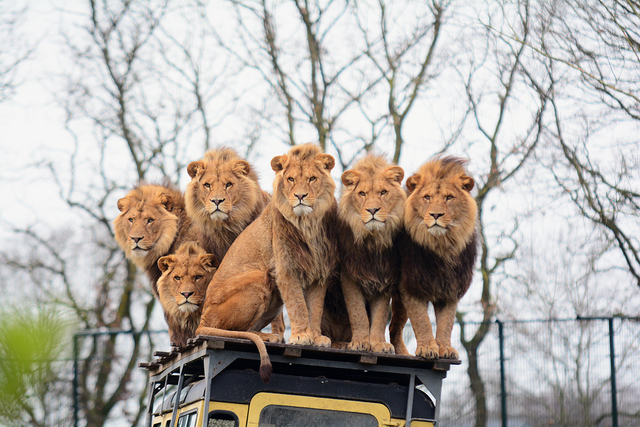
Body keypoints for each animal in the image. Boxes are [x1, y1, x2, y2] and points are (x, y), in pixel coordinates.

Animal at [196, 143, 340, 354]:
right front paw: (300, 336)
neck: (308, 223)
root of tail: (202, 319)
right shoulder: (286, 268)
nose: (300, 196)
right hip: (258, 277)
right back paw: (269, 337)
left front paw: (315, 337)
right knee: (231, 331)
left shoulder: (319, 271)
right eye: (291, 179)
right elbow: (297, 305)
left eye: (312, 179)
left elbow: (315, 308)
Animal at [322, 155, 408, 354]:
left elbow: (379, 318)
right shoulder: (349, 276)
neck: (373, 241)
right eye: (362, 193)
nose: (373, 210)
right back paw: (341, 344)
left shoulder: (384, 280)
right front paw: (360, 342)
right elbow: (358, 313)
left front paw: (378, 344)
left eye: (383, 192)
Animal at [388, 155, 478, 360]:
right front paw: (428, 348)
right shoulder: (411, 285)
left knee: (393, 328)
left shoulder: (451, 288)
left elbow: (446, 323)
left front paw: (445, 349)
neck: (441, 246)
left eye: (449, 197)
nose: (436, 214)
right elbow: (422, 320)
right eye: (427, 197)